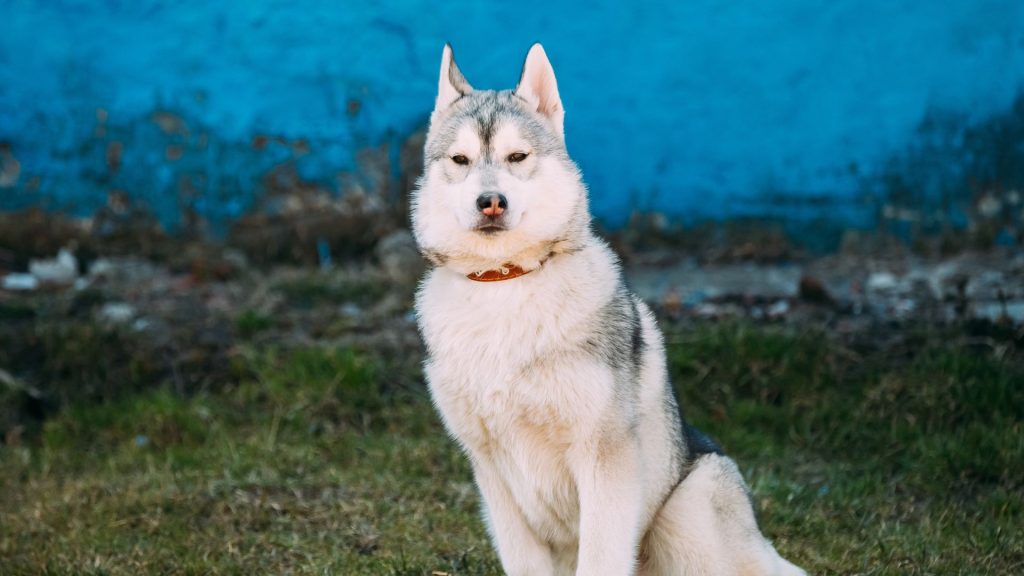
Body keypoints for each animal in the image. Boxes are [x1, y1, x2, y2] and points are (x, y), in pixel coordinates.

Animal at [407, 41, 806, 573]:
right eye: (460, 159)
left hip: (689, 518)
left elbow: (599, 557)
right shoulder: (491, 473)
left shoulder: (604, 460)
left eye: (517, 156)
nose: (491, 201)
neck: (505, 284)